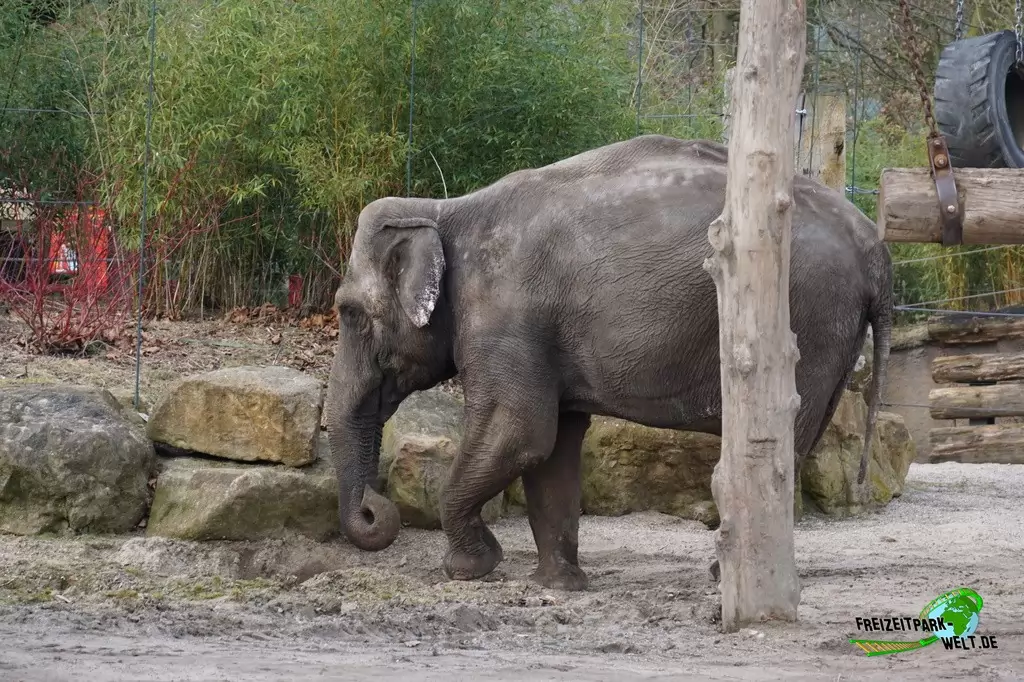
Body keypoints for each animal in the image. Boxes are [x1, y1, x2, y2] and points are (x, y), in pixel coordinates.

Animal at [325, 134, 893, 592]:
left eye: (348, 313)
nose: (374, 509)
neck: (445, 209)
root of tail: (875, 249)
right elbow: (552, 448)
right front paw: (560, 585)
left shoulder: (505, 317)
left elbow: (518, 431)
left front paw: (470, 569)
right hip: (831, 338)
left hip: (804, 320)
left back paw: (722, 577)